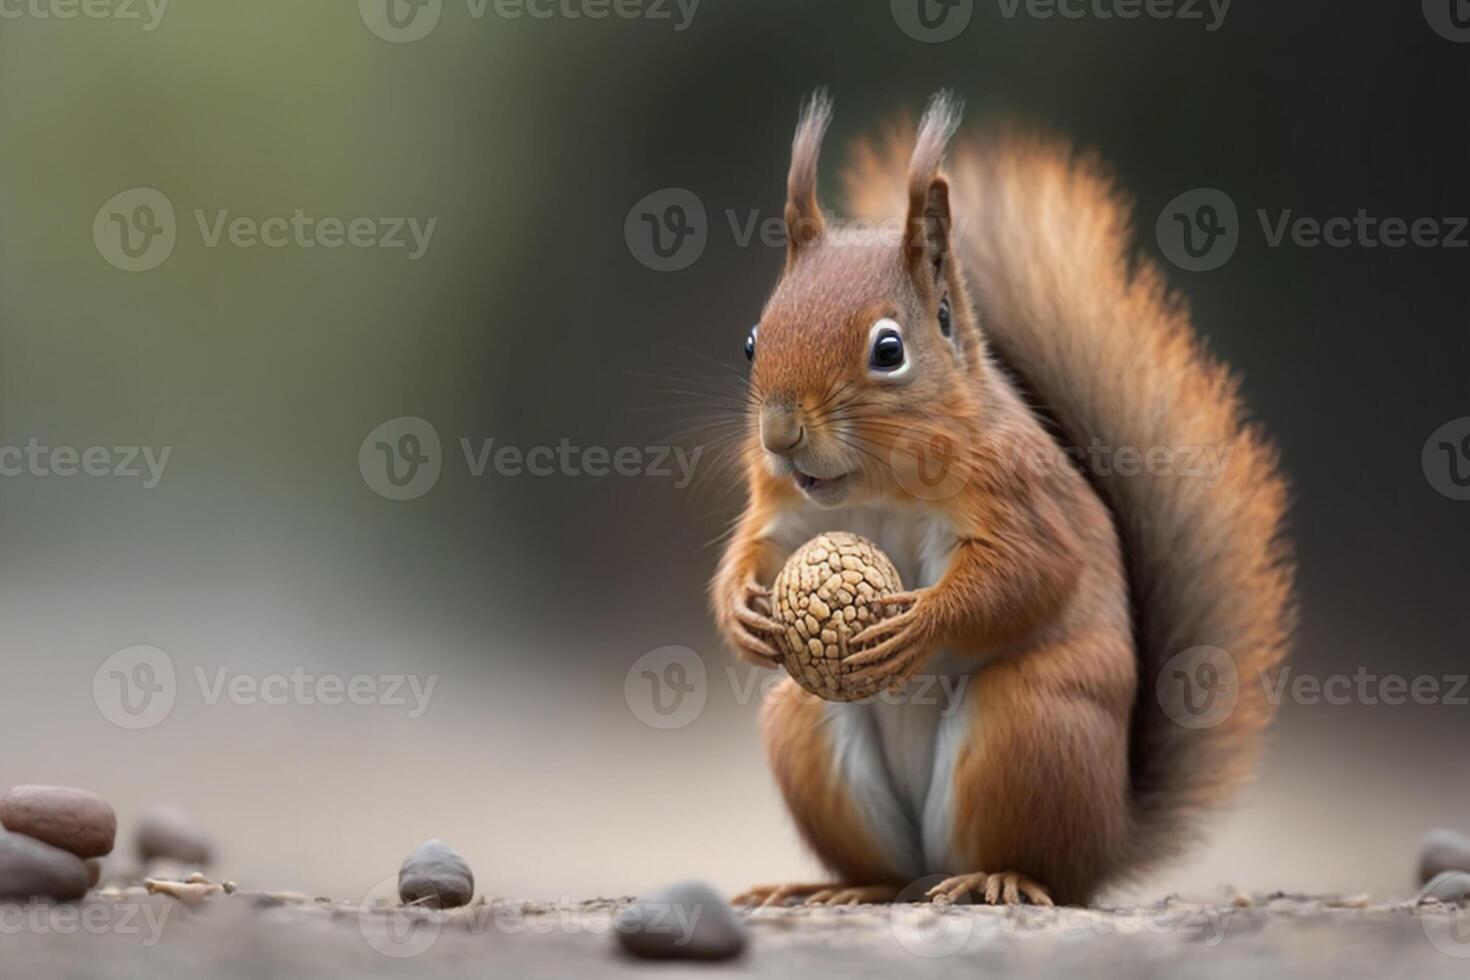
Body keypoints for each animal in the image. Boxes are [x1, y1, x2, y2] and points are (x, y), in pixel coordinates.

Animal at [711, 90, 1294, 907]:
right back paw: (844, 888)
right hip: (807, 727)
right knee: (890, 871)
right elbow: (752, 549)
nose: (780, 433)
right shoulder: (785, 512)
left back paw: (1000, 874)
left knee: (1033, 860)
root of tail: (1109, 837)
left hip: (1028, 724)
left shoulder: (1019, 495)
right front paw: (739, 611)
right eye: (751, 340)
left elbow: (1030, 573)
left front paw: (922, 625)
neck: (877, 484)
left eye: (888, 350)